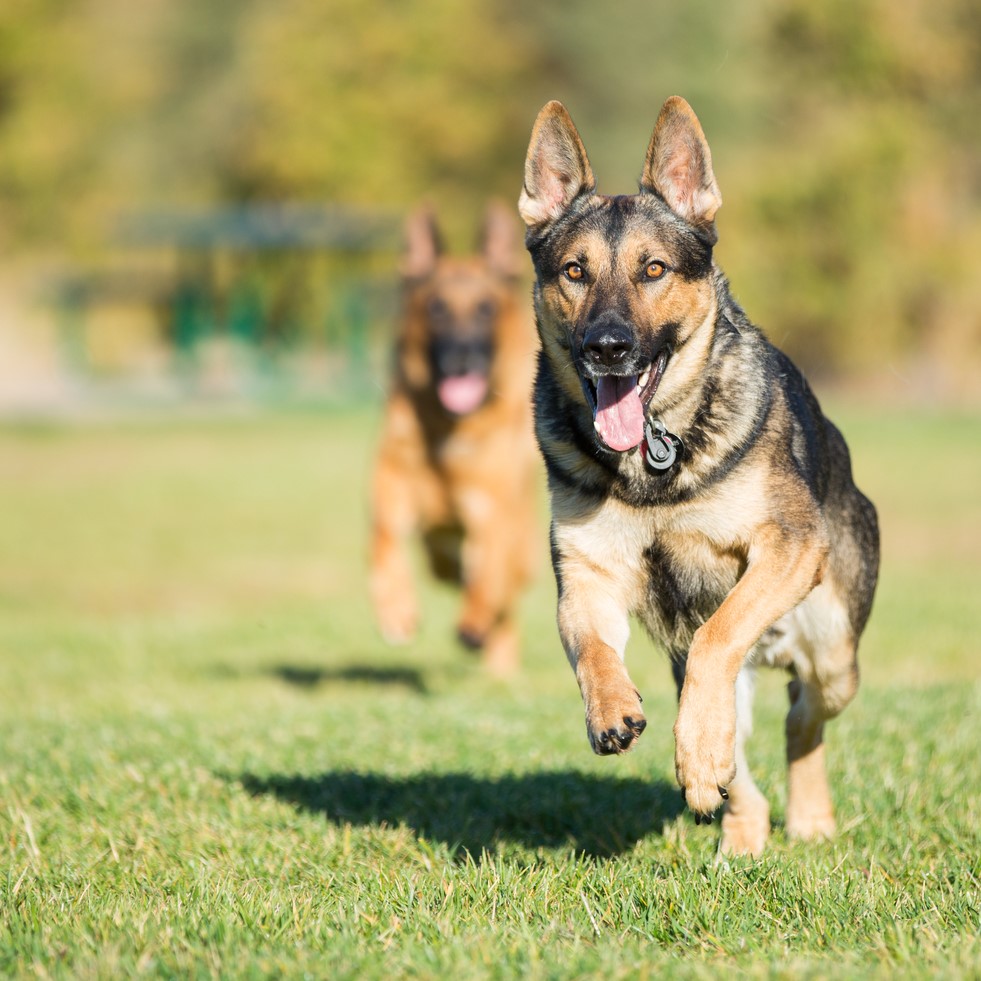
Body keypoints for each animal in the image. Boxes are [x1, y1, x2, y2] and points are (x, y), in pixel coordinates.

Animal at [370, 199, 540, 672]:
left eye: (485, 309)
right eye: (437, 308)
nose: (461, 358)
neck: (448, 430)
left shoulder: (493, 514)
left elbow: (487, 576)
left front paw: (474, 623)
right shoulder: (390, 487)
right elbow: (384, 540)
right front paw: (395, 608)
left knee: (500, 588)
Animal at [520, 95, 880, 852]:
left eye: (653, 269)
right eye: (574, 271)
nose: (607, 347)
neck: (655, 467)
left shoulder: (785, 547)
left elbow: (720, 630)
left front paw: (700, 748)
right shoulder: (587, 577)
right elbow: (592, 648)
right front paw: (611, 710)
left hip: (832, 650)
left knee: (799, 714)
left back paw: (805, 816)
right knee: (735, 765)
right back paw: (737, 829)